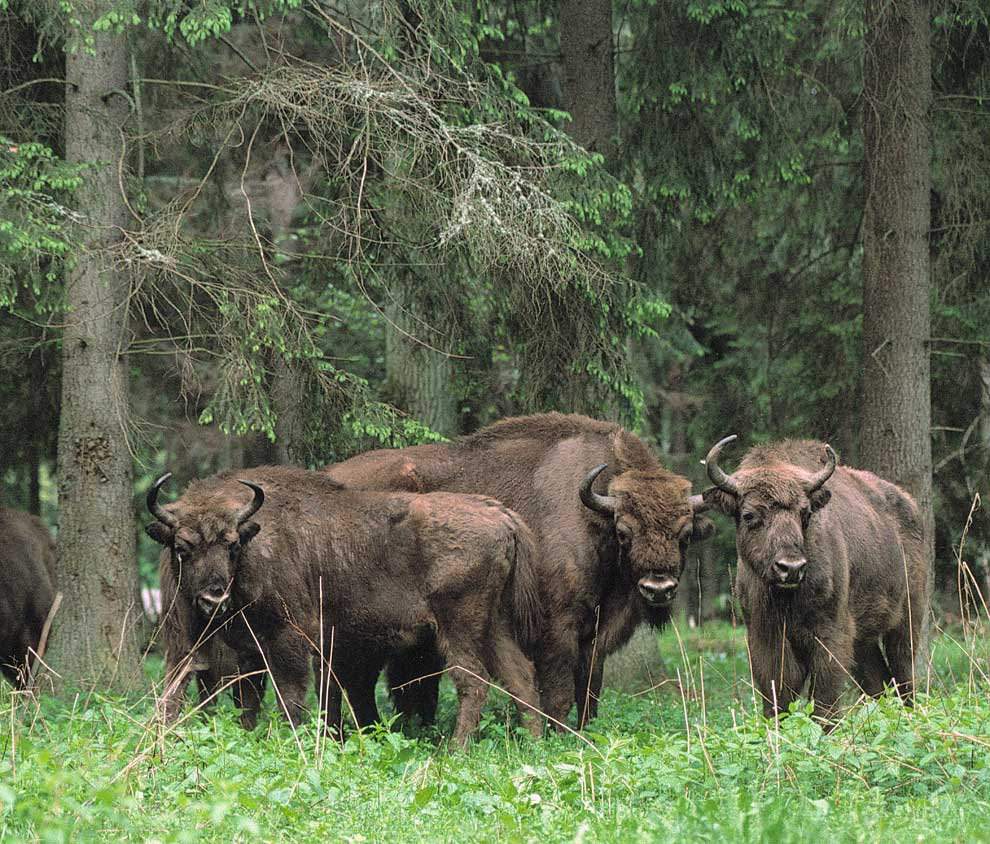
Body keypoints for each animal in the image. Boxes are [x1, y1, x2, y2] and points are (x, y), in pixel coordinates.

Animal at [145, 468, 544, 744]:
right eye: (181, 547)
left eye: (231, 544)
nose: (213, 597)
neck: (255, 542)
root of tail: (501, 515)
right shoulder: (247, 651)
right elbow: (248, 701)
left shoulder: (289, 640)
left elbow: (291, 698)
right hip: (494, 625)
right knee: (520, 676)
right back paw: (534, 742)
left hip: (459, 626)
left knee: (473, 680)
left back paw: (456, 749)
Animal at [330, 412, 716, 728]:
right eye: (625, 532)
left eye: (684, 534)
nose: (658, 588)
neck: (593, 518)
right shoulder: (558, 627)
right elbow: (558, 693)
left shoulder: (594, 637)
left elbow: (589, 691)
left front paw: (584, 731)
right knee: (358, 681)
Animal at [700, 438, 928, 724]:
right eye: (749, 515)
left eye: (805, 512)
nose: (791, 568)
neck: (786, 599)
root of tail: (909, 505)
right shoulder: (764, 636)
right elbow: (779, 692)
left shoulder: (830, 634)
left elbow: (824, 697)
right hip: (865, 641)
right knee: (878, 681)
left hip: (908, 618)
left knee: (904, 671)